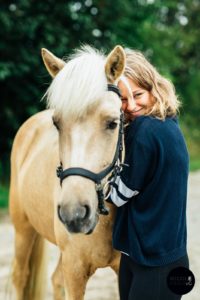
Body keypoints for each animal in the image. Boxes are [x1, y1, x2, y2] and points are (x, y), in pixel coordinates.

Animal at [9, 44, 126, 300]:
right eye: (57, 123)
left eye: (113, 123)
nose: (74, 212)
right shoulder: (74, 271)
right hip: (23, 231)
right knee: (19, 277)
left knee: (55, 280)